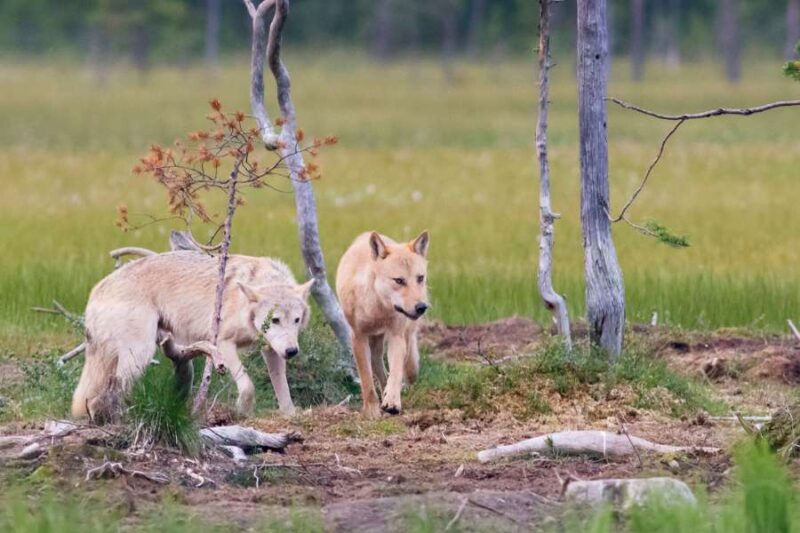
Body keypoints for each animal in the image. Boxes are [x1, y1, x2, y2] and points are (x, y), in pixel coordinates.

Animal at [71, 251, 313, 421]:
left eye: (296, 320)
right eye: (275, 320)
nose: (292, 351)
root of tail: (95, 292)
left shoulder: (271, 350)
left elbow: (283, 390)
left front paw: (290, 415)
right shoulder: (224, 343)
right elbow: (248, 386)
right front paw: (243, 412)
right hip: (140, 355)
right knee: (110, 395)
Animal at [336, 231, 429, 417]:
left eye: (420, 278)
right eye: (399, 280)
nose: (421, 307)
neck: (377, 308)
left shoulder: (396, 336)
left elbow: (396, 371)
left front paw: (392, 402)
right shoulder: (358, 338)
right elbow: (366, 379)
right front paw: (371, 410)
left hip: (401, 333)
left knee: (405, 358)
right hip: (374, 341)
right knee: (377, 362)